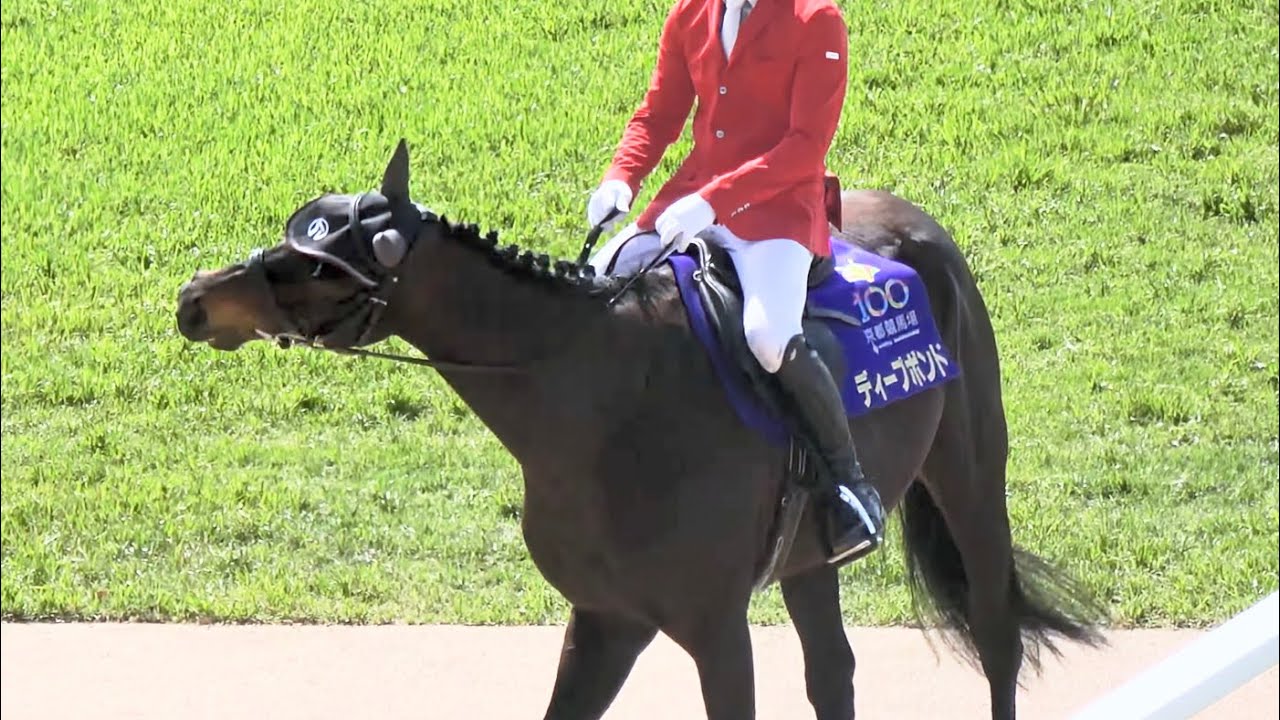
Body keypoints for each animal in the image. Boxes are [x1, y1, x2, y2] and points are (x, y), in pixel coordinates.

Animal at [174, 139, 1107, 719]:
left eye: (316, 262)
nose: (195, 297)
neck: (600, 403)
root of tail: (915, 222)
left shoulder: (714, 627)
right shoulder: (606, 617)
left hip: (971, 479)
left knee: (995, 632)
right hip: (811, 555)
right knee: (834, 672)